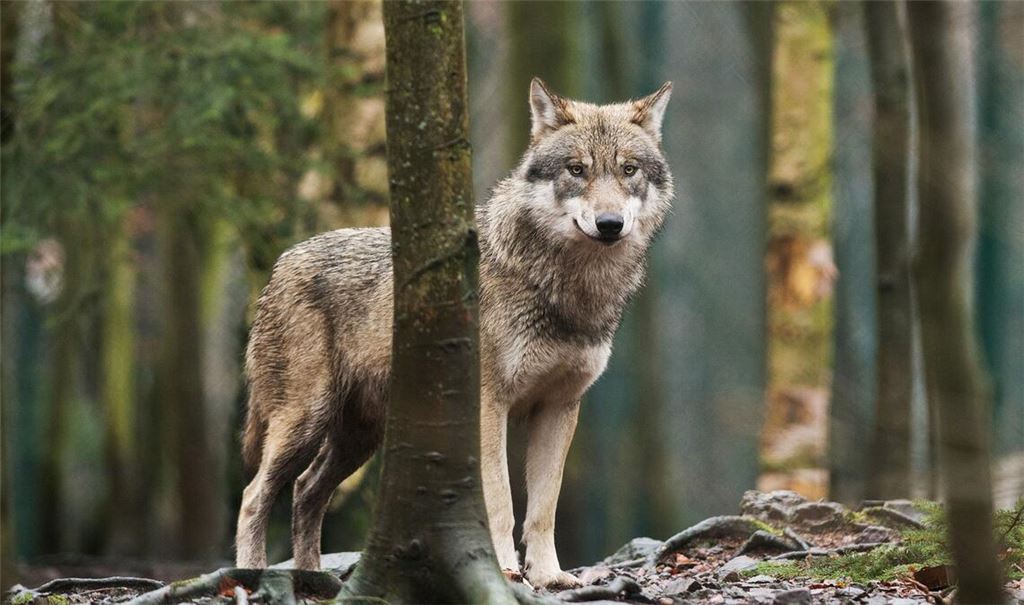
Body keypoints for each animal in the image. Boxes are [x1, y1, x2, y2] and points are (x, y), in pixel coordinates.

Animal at [235, 78, 673, 588]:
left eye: (628, 170)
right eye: (576, 170)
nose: (609, 224)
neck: (568, 289)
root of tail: (281, 263)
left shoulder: (560, 407)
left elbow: (543, 508)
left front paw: (549, 576)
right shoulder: (489, 404)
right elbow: (501, 502)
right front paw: (504, 571)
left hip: (358, 438)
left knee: (306, 491)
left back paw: (312, 580)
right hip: (305, 421)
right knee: (254, 496)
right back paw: (251, 577)